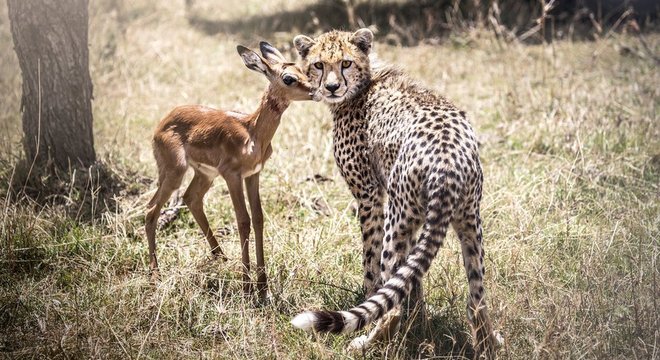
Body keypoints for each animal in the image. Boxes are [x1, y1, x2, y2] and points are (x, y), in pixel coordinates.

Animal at [288, 28, 500, 358]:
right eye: (319, 64)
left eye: (346, 63)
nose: (332, 87)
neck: (364, 84)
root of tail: (448, 160)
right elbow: (411, 277)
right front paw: (420, 321)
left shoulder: (370, 195)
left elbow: (372, 268)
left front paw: (375, 303)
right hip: (468, 222)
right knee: (477, 298)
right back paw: (489, 345)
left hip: (397, 217)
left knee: (391, 303)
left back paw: (366, 342)